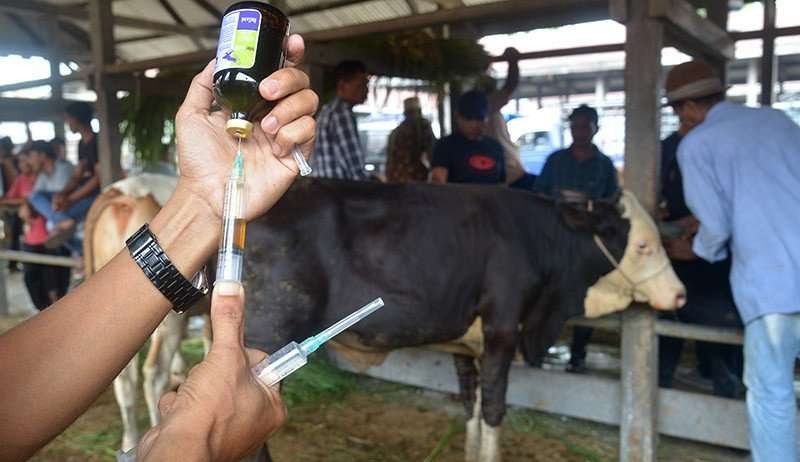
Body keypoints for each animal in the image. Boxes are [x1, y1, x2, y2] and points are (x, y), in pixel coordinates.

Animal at [244, 180, 680, 462]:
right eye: (643, 245)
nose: (679, 295)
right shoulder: (502, 329)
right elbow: (493, 409)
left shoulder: (467, 344)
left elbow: (471, 405)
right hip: (266, 336)